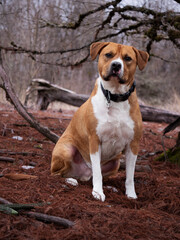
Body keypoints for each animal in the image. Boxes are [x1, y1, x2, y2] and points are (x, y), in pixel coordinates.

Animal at [51, 42, 149, 202]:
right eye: (108, 54)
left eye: (128, 58)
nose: (116, 65)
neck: (115, 96)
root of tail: (82, 173)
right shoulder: (95, 140)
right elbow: (97, 172)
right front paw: (97, 192)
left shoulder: (133, 144)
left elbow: (130, 175)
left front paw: (131, 194)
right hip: (66, 150)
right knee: (57, 173)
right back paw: (70, 180)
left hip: (115, 163)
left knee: (93, 176)